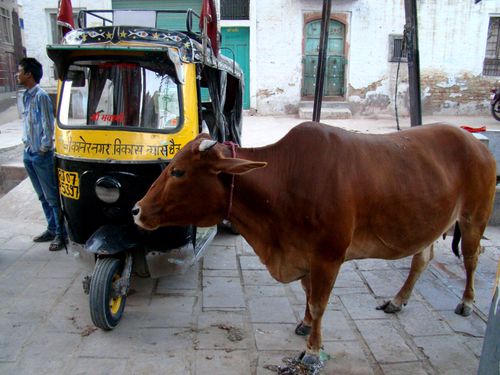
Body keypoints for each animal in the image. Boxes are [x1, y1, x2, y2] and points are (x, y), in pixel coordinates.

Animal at [132, 123, 496, 368]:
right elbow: (308, 295)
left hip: (474, 217)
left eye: (178, 172)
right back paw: (397, 300)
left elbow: (320, 303)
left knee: (471, 257)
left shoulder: (327, 256)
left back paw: (466, 302)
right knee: (422, 257)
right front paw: (305, 324)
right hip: (430, 224)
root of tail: (474, 141)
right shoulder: (303, 253)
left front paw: (312, 350)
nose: (135, 209)